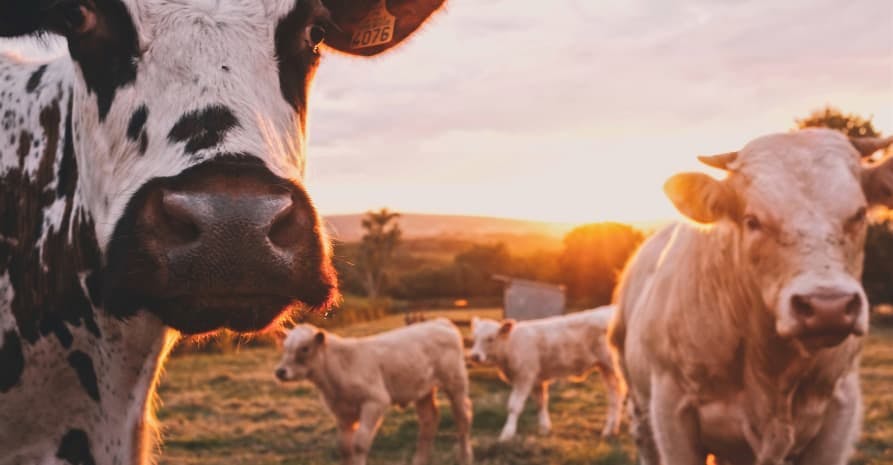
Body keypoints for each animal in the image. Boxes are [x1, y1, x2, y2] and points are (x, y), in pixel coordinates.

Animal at [274, 318, 470, 464]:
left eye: (305, 348)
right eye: (285, 347)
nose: (280, 371)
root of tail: (440, 322)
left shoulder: (375, 401)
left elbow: (359, 444)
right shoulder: (342, 412)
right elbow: (345, 447)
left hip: (456, 382)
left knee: (462, 418)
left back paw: (465, 458)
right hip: (423, 390)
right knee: (429, 421)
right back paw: (419, 461)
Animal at [470, 306, 624, 440]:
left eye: (490, 338)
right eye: (474, 338)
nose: (474, 356)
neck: (511, 345)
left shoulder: (524, 377)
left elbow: (514, 406)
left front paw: (507, 434)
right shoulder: (537, 380)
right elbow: (541, 403)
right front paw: (544, 428)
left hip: (614, 365)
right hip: (605, 368)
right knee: (614, 395)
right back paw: (610, 430)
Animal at [608, 128, 892, 464]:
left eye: (859, 214)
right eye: (752, 220)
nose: (828, 307)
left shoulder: (840, 410)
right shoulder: (671, 411)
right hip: (639, 404)